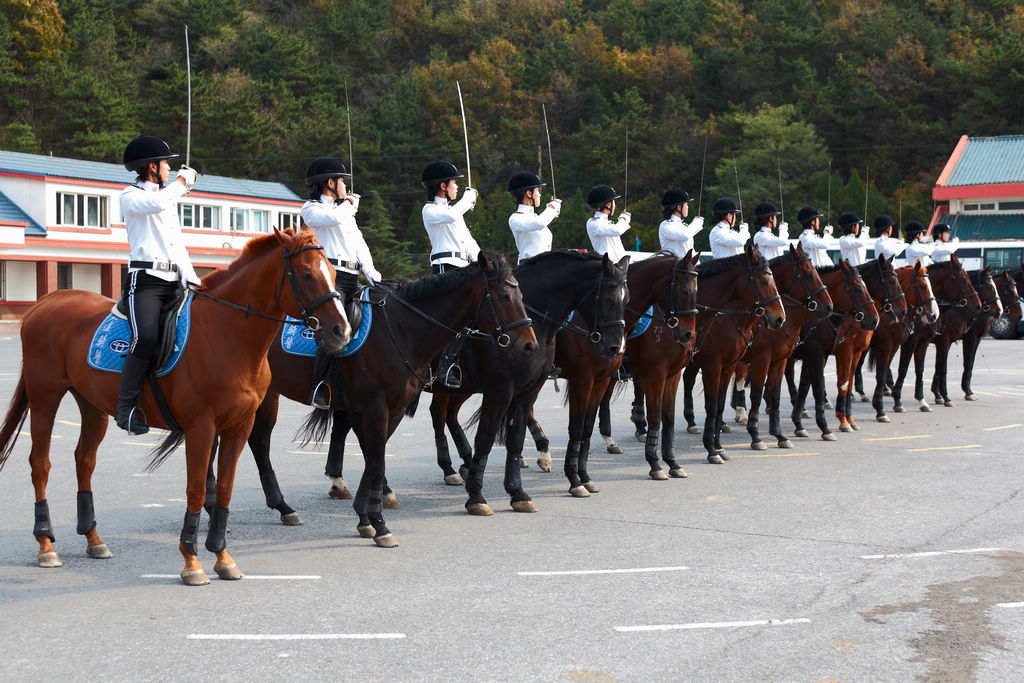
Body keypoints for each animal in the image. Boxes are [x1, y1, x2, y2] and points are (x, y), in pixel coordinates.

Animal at [0, 228, 352, 581]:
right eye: (306, 274)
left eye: (333, 272)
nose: (342, 331)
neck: (229, 334)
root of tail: (47, 301)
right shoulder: (201, 427)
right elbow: (196, 489)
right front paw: (192, 561)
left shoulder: (238, 426)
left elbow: (225, 488)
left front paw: (222, 557)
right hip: (45, 399)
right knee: (39, 464)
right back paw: (46, 544)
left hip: (92, 405)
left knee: (84, 461)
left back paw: (94, 539)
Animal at [239, 250, 536, 544]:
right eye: (504, 295)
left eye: (522, 295)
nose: (529, 345)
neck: (402, 329)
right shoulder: (376, 408)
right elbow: (377, 461)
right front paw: (379, 524)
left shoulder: (394, 410)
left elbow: (373, 460)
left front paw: (366, 518)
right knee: (256, 444)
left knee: (259, 443)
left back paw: (283, 508)